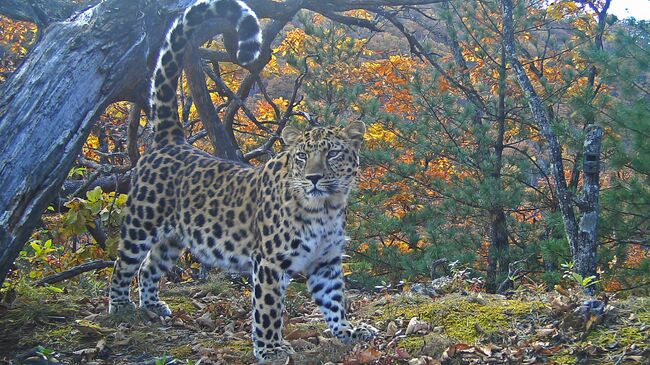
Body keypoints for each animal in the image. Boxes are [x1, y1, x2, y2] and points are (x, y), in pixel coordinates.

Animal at [107, 0, 378, 360]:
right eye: (302, 157)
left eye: (333, 153)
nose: (314, 178)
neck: (326, 209)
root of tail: (172, 141)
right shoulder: (270, 262)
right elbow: (268, 309)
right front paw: (270, 349)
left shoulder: (326, 261)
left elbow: (335, 301)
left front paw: (349, 331)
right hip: (141, 223)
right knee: (122, 265)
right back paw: (119, 309)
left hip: (174, 237)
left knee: (150, 267)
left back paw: (153, 306)